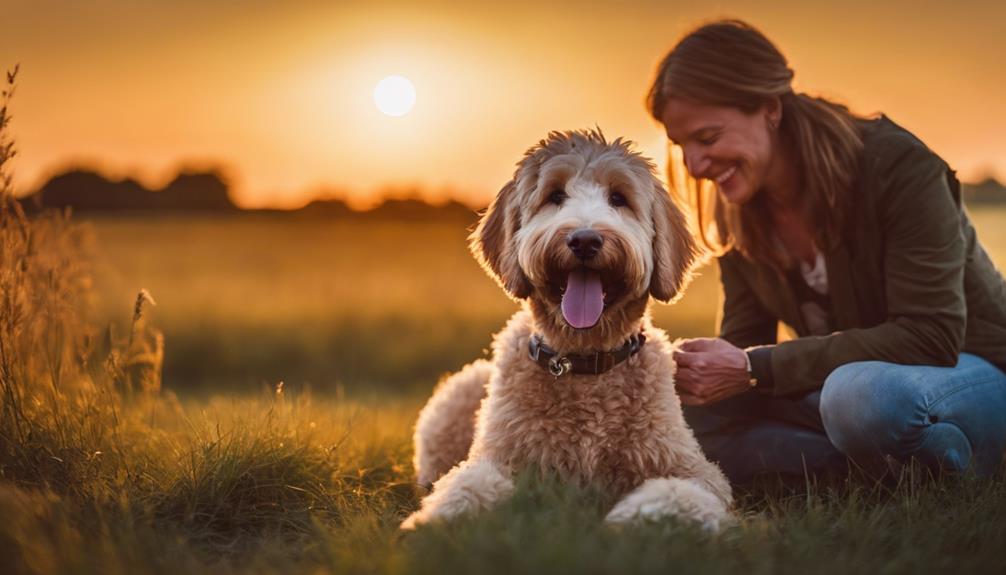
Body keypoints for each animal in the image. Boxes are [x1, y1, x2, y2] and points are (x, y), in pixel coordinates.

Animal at [400, 128, 732, 530]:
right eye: (555, 195)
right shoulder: (500, 456)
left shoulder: (691, 467)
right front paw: (437, 520)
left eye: (619, 198)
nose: (585, 240)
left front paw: (639, 516)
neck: (583, 362)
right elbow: (471, 482)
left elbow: (678, 492)